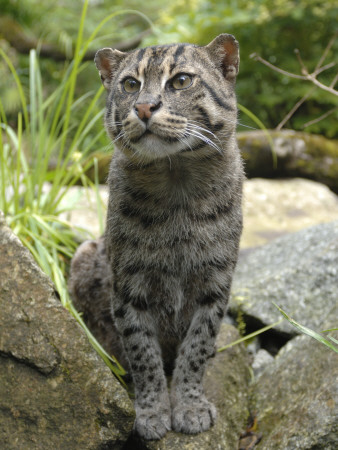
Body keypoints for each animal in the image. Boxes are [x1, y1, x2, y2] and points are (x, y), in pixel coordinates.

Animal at [69, 34, 243, 440]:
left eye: (180, 81)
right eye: (131, 85)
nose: (144, 107)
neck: (175, 174)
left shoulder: (216, 283)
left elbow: (197, 348)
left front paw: (190, 406)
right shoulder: (128, 287)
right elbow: (142, 353)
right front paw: (151, 412)